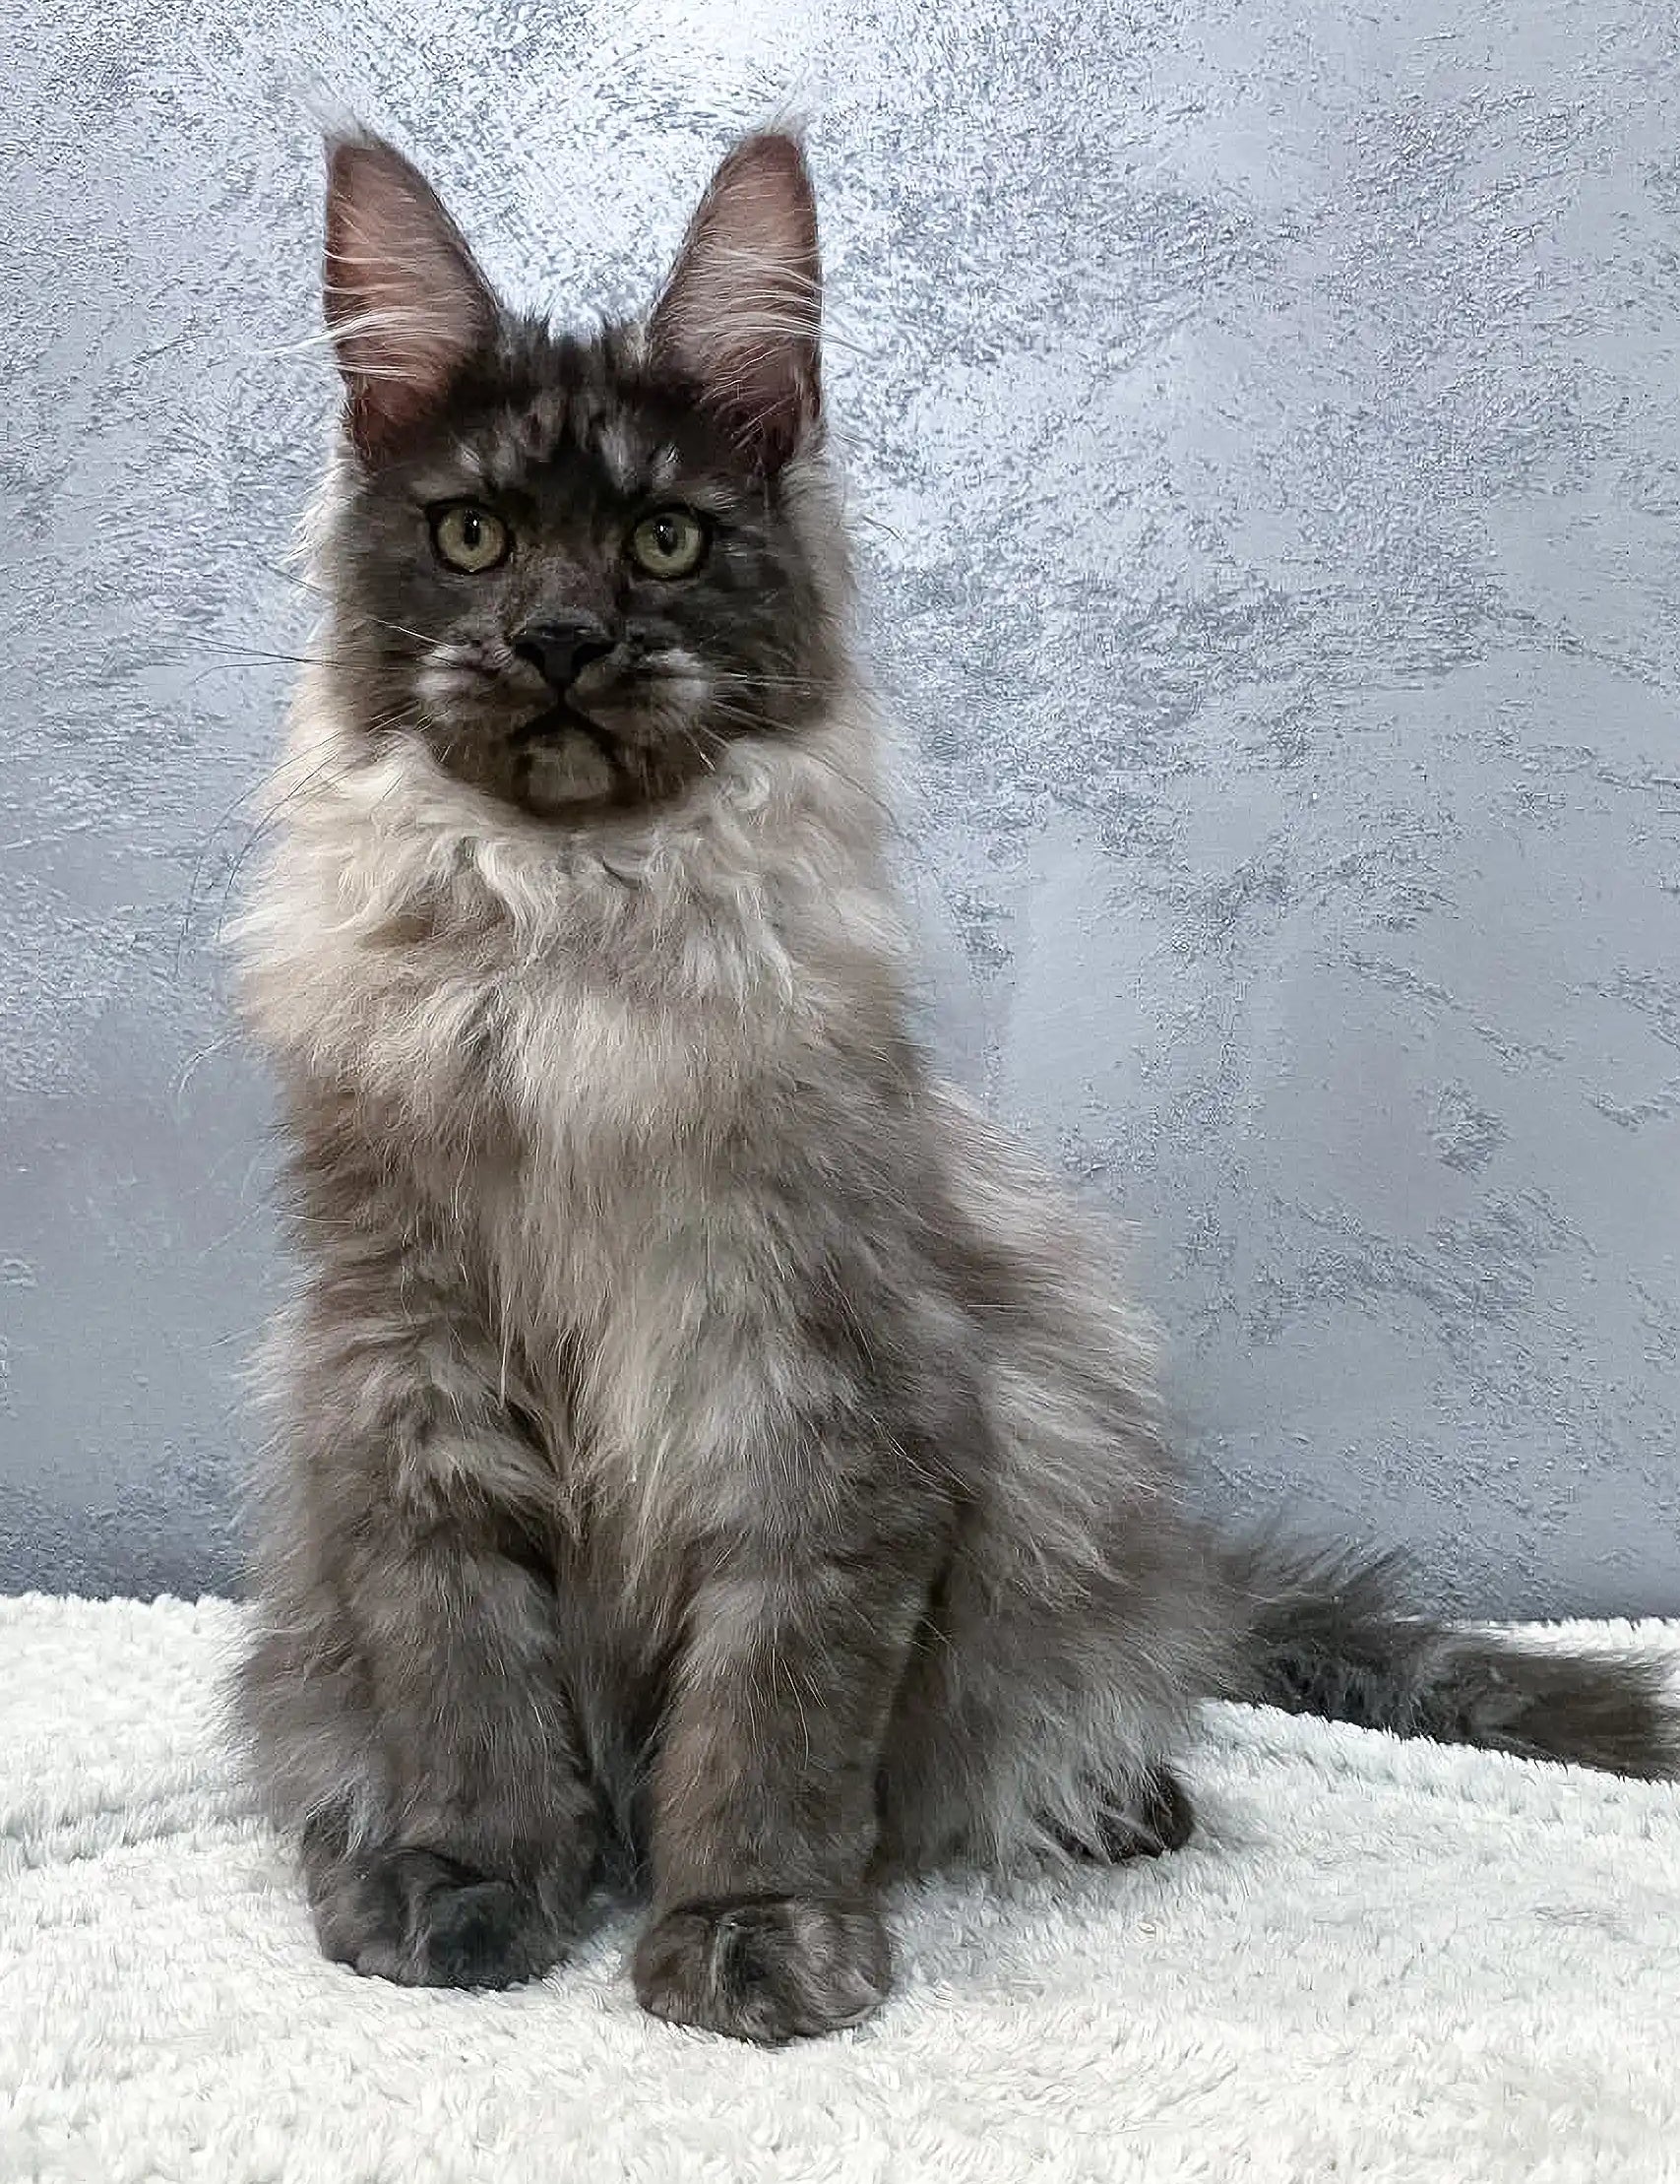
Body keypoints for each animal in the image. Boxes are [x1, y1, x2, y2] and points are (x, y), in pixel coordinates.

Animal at [229, 132, 1668, 2043]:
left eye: (666, 538)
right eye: (472, 535)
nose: (559, 639)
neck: (571, 948)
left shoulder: (820, 1385)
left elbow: (774, 1710)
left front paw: (752, 1926)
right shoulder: (411, 1371)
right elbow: (463, 1671)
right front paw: (468, 1877)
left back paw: (1126, 1805)